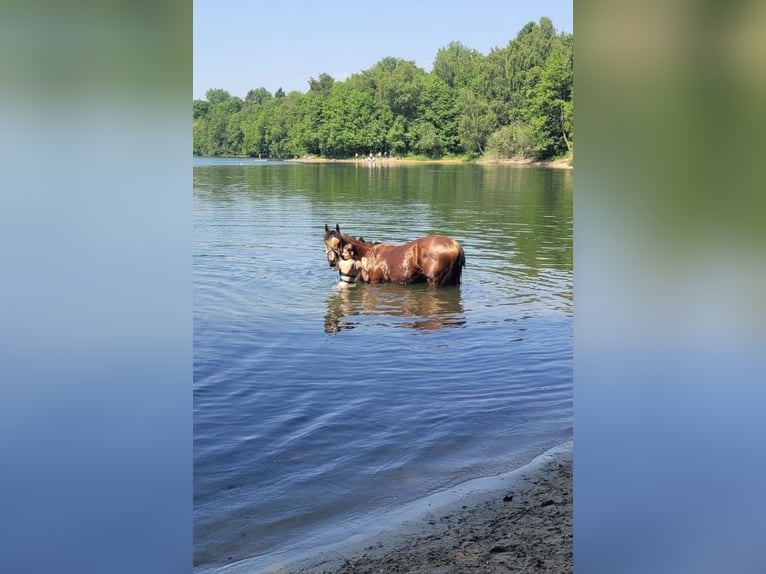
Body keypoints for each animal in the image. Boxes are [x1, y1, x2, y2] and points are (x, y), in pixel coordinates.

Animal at [324, 225, 468, 288]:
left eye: (338, 242)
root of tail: (455, 244)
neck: (369, 255)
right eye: (325, 241)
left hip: (435, 281)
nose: (332, 262)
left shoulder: (375, 282)